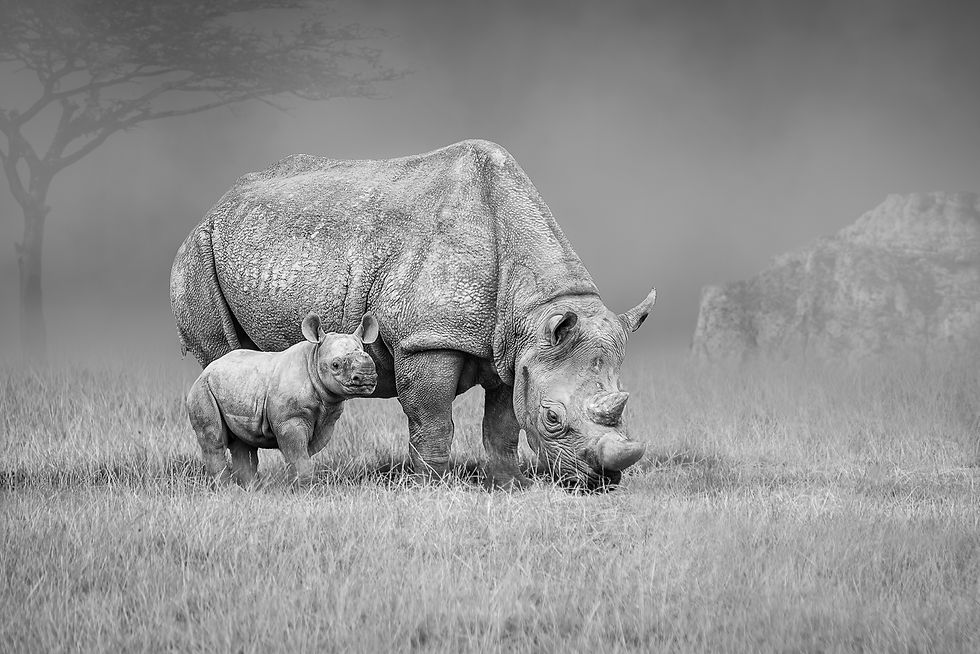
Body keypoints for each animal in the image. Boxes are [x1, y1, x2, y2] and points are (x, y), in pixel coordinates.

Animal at [186, 312, 380, 487]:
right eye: (336, 365)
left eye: (371, 360)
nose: (367, 377)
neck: (314, 358)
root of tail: (206, 370)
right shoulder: (290, 420)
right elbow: (298, 455)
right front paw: (306, 489)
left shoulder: (328, 418)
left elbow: (301, 455)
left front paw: (294, 485)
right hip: (202, 389)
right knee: (214, 440)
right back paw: (229, 490)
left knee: (243, 444)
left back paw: (251, 490)